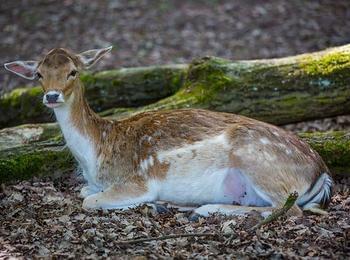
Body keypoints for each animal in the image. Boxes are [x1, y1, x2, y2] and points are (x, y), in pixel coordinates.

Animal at [5, 46, 334, 217]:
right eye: (38, 74)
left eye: (73, 71)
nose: (52, 96)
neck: (95, 155)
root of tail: (323, 173)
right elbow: (84, 191)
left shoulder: (138, 181)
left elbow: (88, 200)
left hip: (257, 160)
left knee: (289, 210)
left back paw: (200, 207)